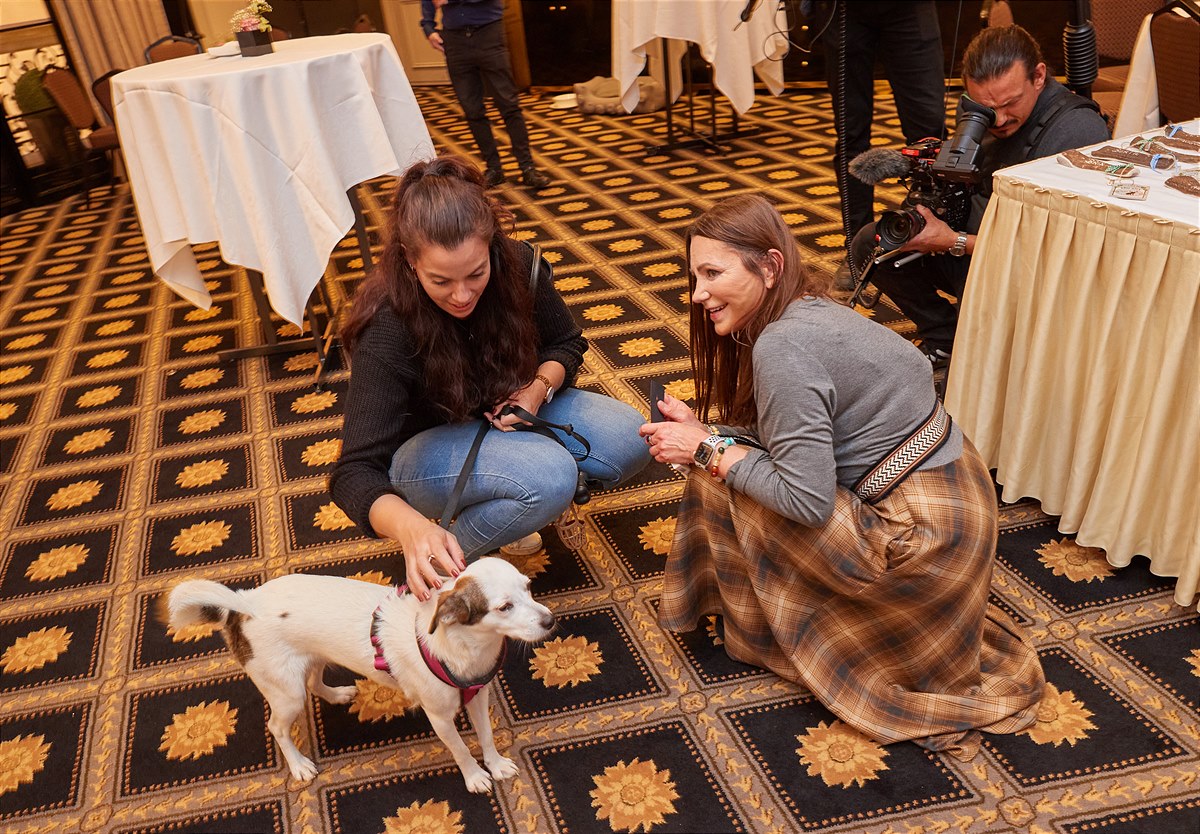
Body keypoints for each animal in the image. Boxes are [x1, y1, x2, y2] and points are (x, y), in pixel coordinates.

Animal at [162, 556, 554, 792]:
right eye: (504, 607)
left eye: (528, 587)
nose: (550, 621)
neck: (465, 648)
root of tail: (243, 605)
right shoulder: (440, 717)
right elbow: (460, 749)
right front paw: (474, 776)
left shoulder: (478, 696)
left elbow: (486, 736)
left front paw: (496, 765)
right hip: (287, 694)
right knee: (277, 727)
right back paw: (299, 765)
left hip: (314, 658)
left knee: (314, 682)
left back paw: (336, 694)